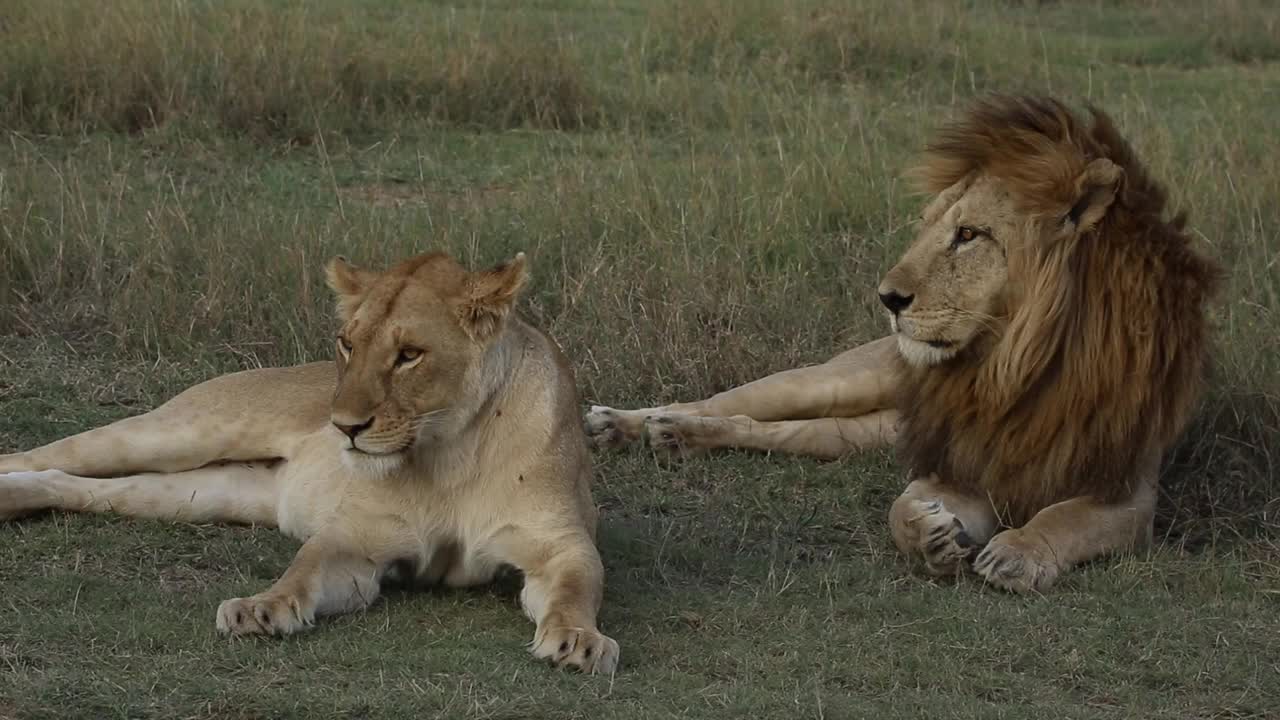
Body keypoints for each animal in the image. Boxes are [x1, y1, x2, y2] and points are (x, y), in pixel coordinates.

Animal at [0, 249, 619, 671]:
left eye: (409, 355)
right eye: (347, 343)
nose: (342, 426)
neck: (448, 452)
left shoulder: (560, 543)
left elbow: (575, 589)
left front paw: (579, 641)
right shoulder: (356, 538)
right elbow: (303, 569)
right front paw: (258, 610)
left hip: (202, 494)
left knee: (76, 484)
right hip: (182, 432)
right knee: (44, 453)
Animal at [586, 94, 1213, 589]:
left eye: (969, 234)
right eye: (929, 226)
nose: (888, 298)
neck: (1011, 368)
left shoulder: (1127, 492)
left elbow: (1067, 518)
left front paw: (1017, 552)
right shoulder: (957, 462)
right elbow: (899, 507)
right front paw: (931, 535)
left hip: (861, 434)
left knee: (767, 431)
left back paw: (676, 438)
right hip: (834, 380)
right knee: (722, 401)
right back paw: (629, 424)